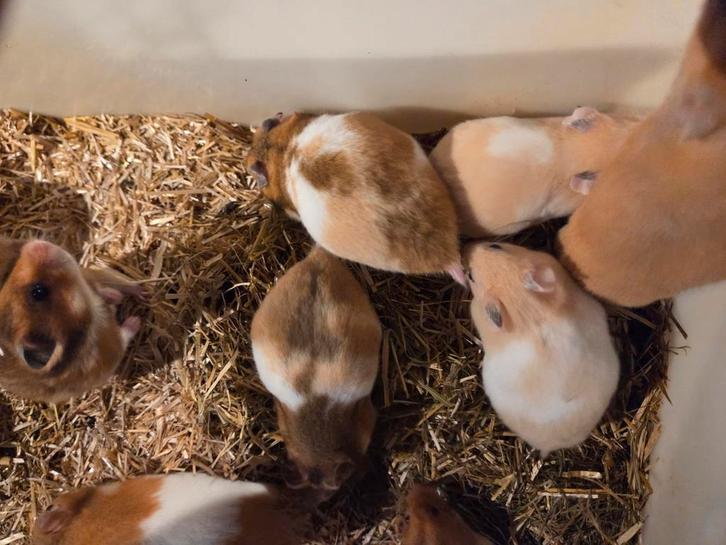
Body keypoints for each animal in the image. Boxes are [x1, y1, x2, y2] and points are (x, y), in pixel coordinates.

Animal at [0, 239, 142, 403]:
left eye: (9, 272)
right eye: (38, 292)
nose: (35, 244)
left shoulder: (90, 280)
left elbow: (108, 288)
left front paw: (136, 293)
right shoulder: (112, 350)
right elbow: (125, 333)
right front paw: (136, 320)